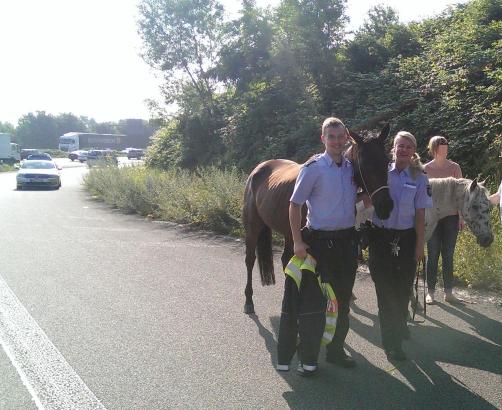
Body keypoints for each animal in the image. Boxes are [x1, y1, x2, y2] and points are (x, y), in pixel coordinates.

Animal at [241, 125, 394, 314]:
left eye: (387, 161)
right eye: (365, 163)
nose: (386, 206)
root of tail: (257, 170)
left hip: (289, 232)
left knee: (285, 259)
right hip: (254, 228)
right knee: (250, 260)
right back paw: (249, 301)